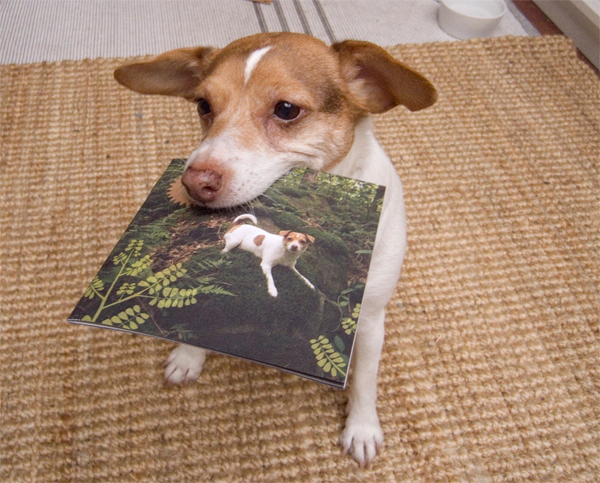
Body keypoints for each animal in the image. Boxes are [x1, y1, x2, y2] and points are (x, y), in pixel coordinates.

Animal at [114, 32, 437, 466]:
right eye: (203, 105)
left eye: (286, 109)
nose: (193, 182)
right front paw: (188, 355)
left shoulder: (368, 321)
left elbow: (364, 380)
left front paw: (362, 426)